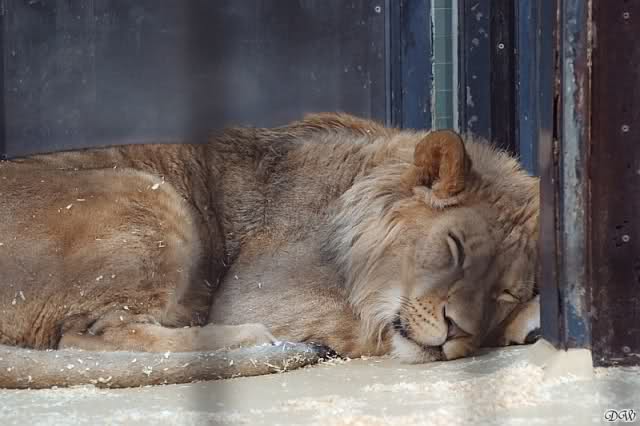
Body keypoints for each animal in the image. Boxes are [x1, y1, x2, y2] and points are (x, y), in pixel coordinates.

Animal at [0, 113, 540, 389]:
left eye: (504, 293)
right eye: (455, 249)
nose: (456, 331)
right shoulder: (259, 295)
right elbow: (365, 330)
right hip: (149, 194)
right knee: (89, 337)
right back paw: (252, 341)